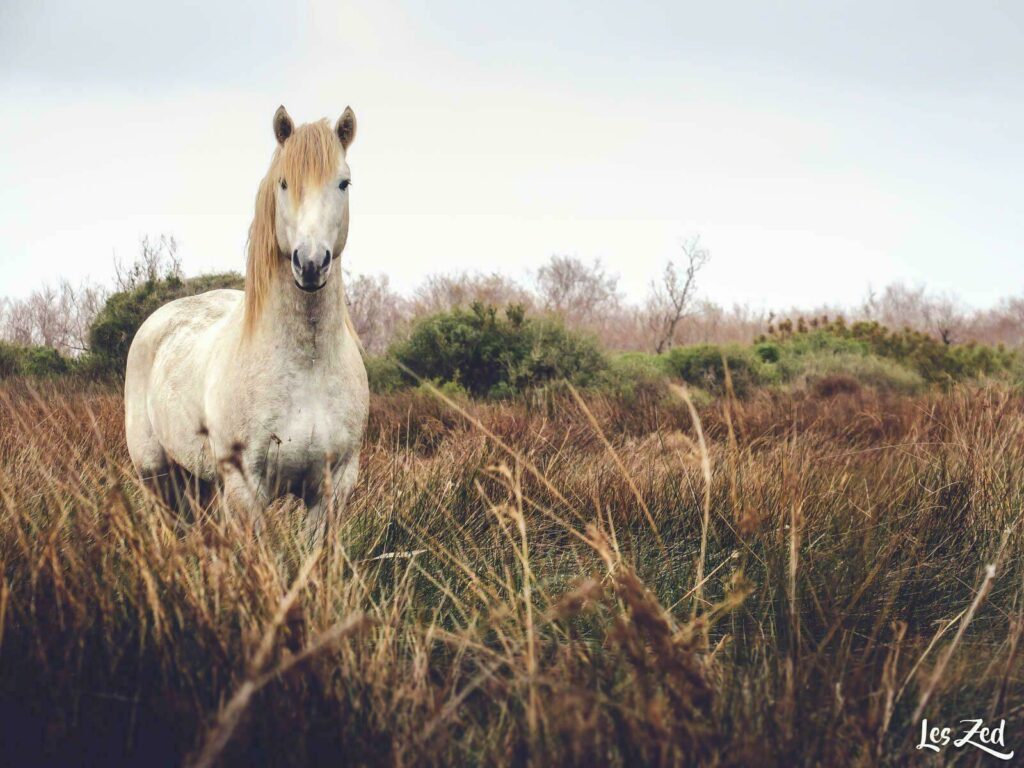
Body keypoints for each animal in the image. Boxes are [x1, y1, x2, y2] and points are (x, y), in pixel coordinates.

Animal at [124, 105, 370, 532]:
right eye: (284, 183)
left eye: (344, 183)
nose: (310, 264)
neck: (308, 366)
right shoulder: (245, 488)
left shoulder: (332, 490)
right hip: (156, 474)